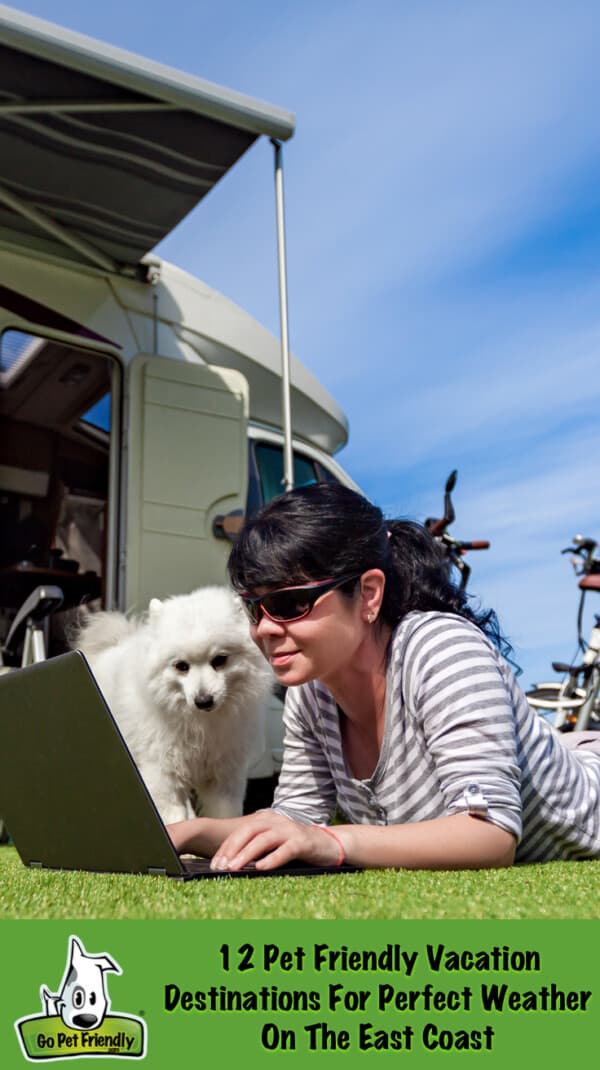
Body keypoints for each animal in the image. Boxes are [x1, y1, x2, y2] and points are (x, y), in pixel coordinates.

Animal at [70, 590, 273, 821]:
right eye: (181, 666)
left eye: (220, 660)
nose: (203, 700)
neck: (200, 724)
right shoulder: (162, 776)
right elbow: (173, 817)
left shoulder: (223, 779)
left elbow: (224, 817)